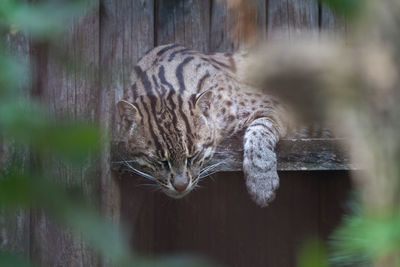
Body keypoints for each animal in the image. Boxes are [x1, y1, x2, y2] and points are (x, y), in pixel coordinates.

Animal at [116, 43, 288, 207]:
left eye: (193, 156)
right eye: (160, 161)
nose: (180, 186)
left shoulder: (276, 106)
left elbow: (259, 129)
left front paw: (262, 181)